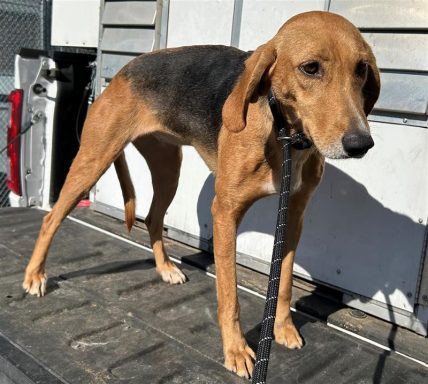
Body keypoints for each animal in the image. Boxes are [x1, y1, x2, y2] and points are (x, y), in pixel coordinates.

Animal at [23, 11, 378, 378]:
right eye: (310, 68)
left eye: (361, 69)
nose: (360, 144)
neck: (284, 132)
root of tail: (123, 72)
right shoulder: (225, 214)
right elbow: (230, 295)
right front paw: (236, 351)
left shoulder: (293, 216)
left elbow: (284, 282)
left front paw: (282, 329)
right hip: (93, 161)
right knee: (52, 218)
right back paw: (35, 276)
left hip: (169, 170)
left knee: (152, 218)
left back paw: (166, 268)